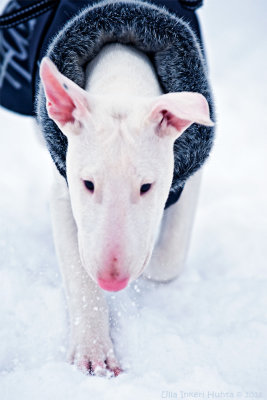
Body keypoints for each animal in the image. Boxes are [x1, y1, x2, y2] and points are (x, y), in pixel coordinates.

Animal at [39, 42, 214, 376]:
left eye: (146, 186)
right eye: (88, 183)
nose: (112, 281)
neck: (122, 79)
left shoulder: (189, 172)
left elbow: (168, 261)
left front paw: (147, 267)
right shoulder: (61, 184)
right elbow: (77, 267)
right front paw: (94, 353)